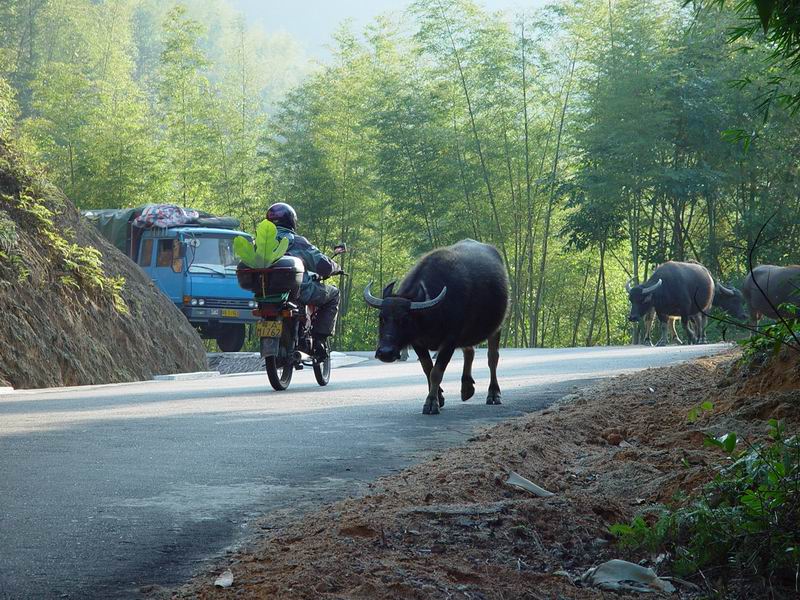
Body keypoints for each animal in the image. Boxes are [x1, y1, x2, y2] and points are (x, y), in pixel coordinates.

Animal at [362, 238, 506, 412]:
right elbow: (427, 369)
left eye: (405, 319)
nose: (385, 352)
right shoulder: (418, 342)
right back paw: (466, 388)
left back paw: (494, 394)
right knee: (469, 351)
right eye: (381, 318)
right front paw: (439, 397)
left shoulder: (450, 340)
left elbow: (436, 372)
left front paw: (431, 402)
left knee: (492, 358)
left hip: (496, 328)